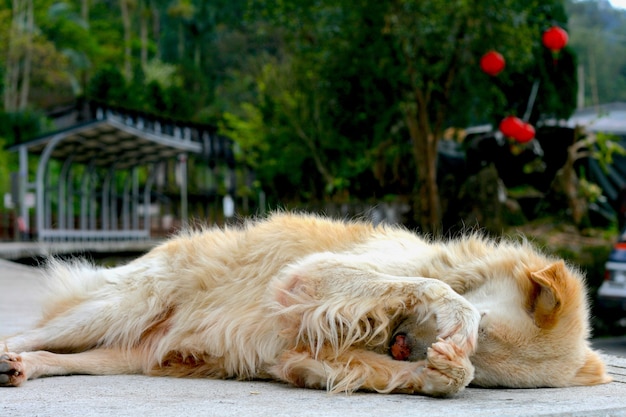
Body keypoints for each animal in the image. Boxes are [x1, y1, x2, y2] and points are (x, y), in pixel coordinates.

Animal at [0, 213, 608, 394]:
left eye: (484, 365)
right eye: (481, 329)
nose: (403, 346)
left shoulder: (301, 359)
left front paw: (445, 374)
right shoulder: (310, 278)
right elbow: (434, 288)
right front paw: (451, 313)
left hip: (124, 353)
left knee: (57, 357)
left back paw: (22, 369)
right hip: (117, 308)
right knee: (26, 334)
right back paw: (9, 357)